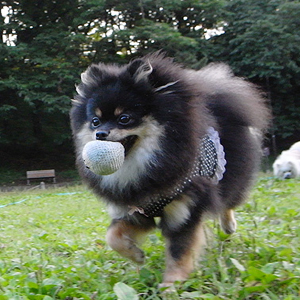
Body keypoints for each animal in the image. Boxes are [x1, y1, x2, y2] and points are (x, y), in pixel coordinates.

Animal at [69, 52, 270, 288]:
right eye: (95, 121)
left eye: (124, 118)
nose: (99, 134)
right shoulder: (135, 213)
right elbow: (112, 237)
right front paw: (136, 255)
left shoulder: (183, 213)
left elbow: (179, 254)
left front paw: (170, 286)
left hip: (230, 177)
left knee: (227, 200)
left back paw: (229, 225)